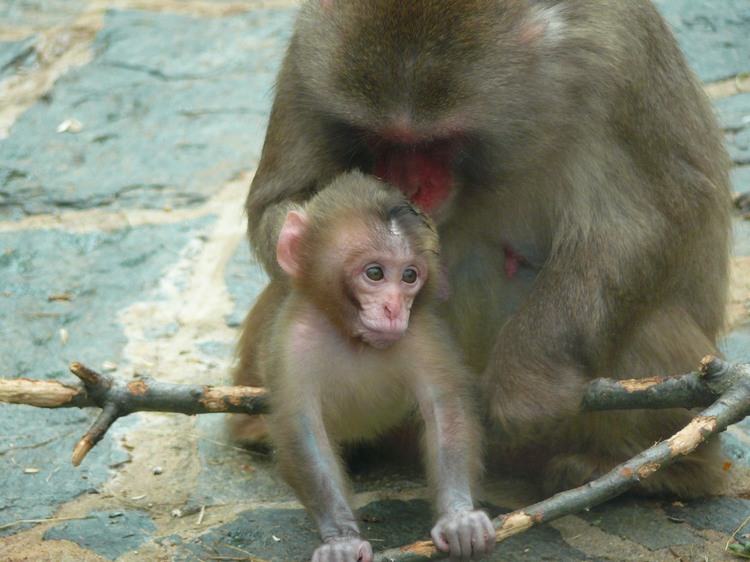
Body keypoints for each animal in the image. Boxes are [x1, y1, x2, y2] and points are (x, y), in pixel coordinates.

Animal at [235, 172, 494, 560]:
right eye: (374, 273)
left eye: (409, 276)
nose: (394, 308)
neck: (355, 339)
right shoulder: (291, 342)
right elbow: (303, 428)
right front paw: (341, 539)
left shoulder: (421, 335)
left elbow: (446, 409)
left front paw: (459, 518)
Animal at [242, 1, 736, 498]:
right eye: (380, 138)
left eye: (437, 142)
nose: (408, 186)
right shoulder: (307, 57)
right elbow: (281, 204)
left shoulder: (618, 67)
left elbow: (642, 224)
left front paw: (527, 383)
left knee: (647, 322)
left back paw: (658, 470)